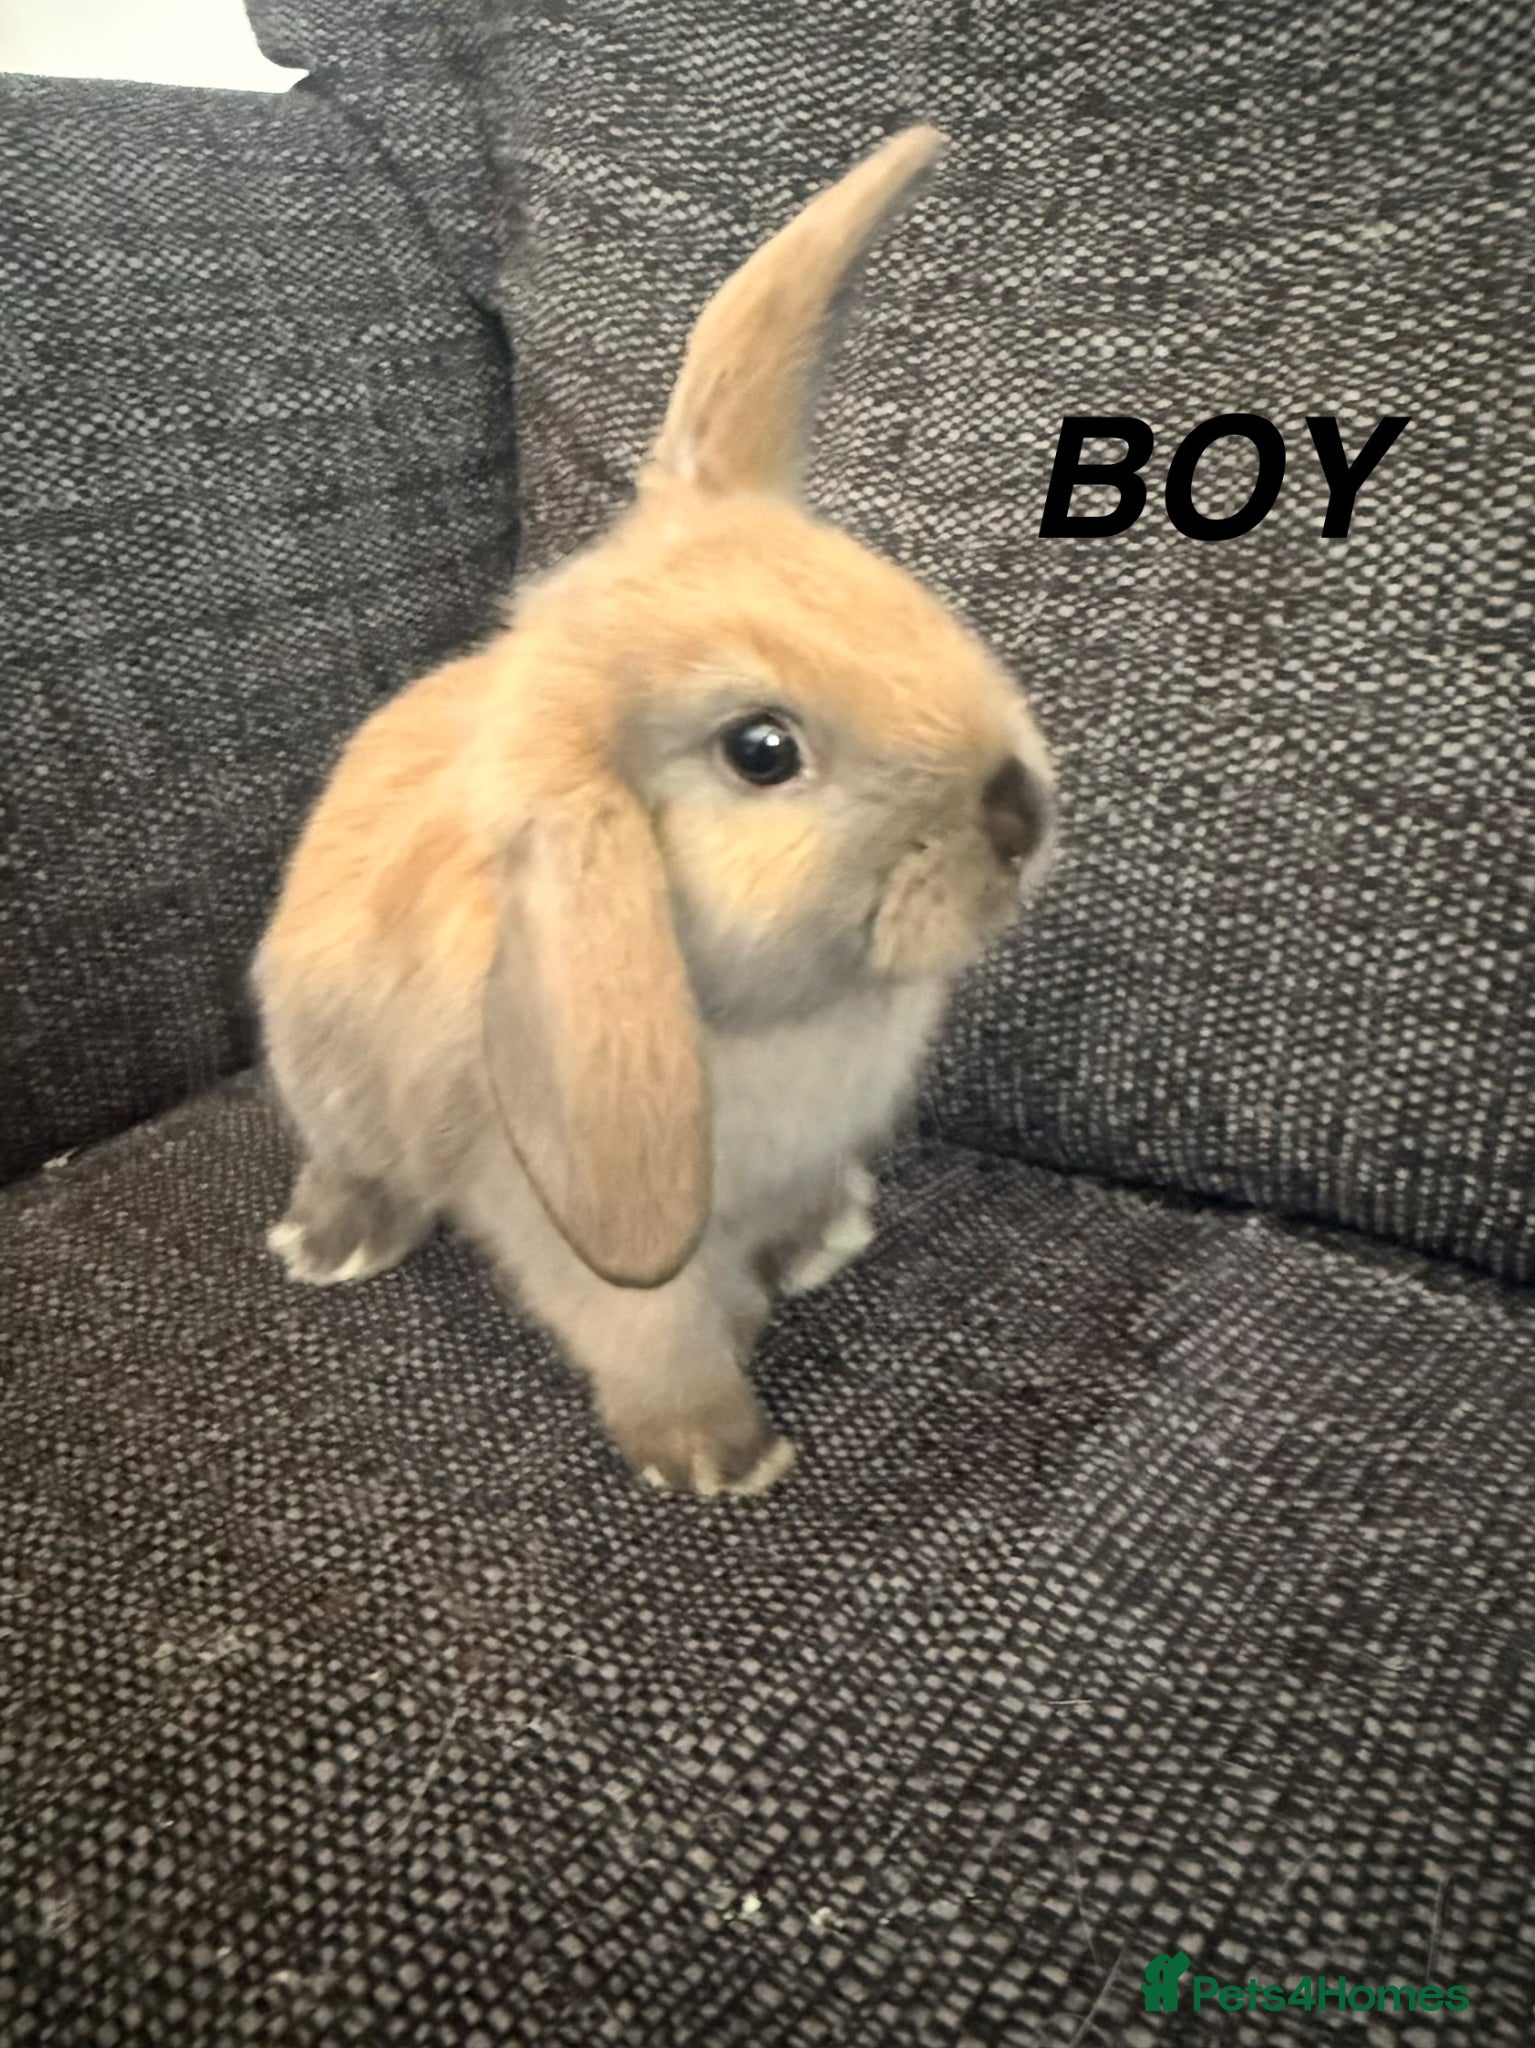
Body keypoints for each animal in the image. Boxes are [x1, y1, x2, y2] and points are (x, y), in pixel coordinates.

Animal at [254, 125, 1057, 1497]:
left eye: (881, 589)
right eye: (760, 750)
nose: (1016, 811)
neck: (777, 1018)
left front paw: (819, 1243)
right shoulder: (576, 1228)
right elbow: (658, 1333)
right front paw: (719, 1458)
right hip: (327, 1077)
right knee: (352, 1157)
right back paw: (330, 1240)